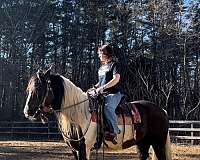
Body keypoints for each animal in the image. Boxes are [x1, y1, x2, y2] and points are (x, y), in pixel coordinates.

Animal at [23, 69, 172, 160]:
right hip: (142, 143)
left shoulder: (84, 148)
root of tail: (162, 111)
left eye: (39, 88)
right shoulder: (74, 149)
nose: (27, 111)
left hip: (158, 143)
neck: (79, 113)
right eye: (28, 88)